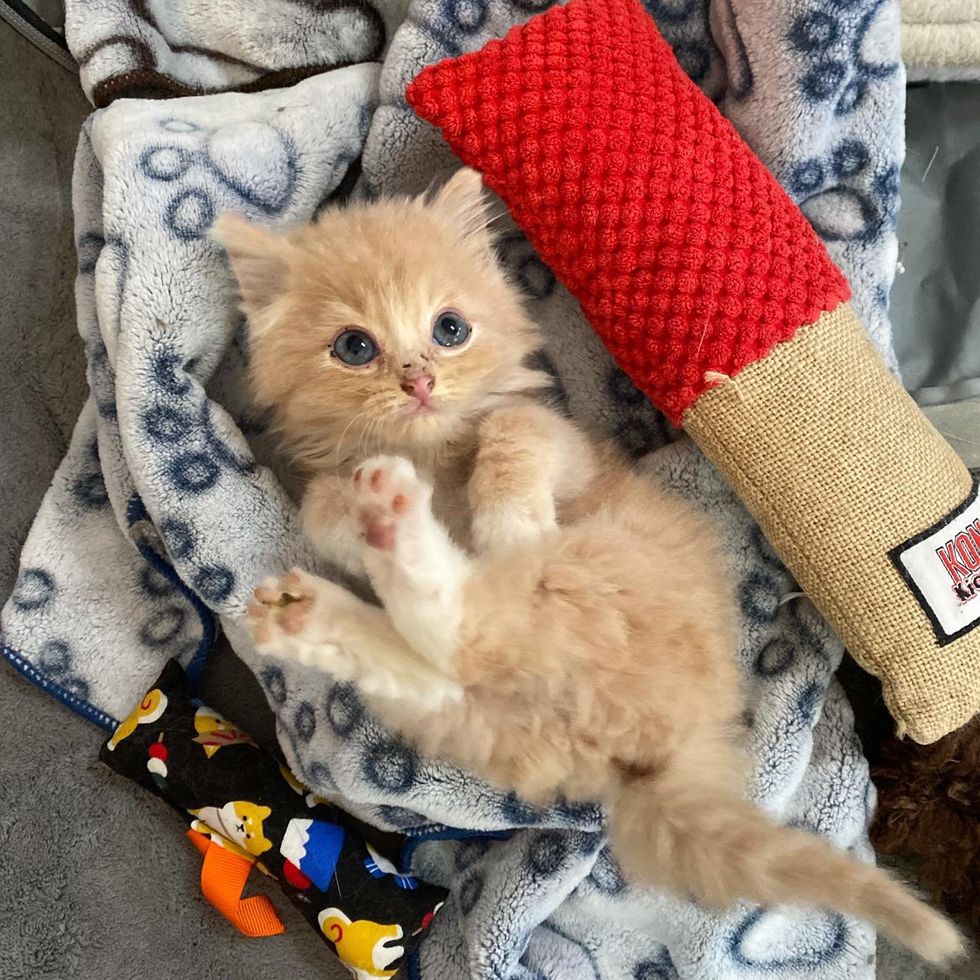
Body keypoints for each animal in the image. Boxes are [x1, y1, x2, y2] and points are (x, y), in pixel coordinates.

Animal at [212, 170, 956, 964]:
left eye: (450, 329)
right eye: (354, 346)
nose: (418, 382)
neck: (431, 455)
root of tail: (666, 751)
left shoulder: (563, 445)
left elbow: (512, 431)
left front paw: (506, 521)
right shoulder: (325, 474)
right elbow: (320, 503)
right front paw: (352, 518)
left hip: (599, 574)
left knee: (474, 628)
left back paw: (402, 535)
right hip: (490, 705)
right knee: (454, 653)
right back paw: (327, 595)